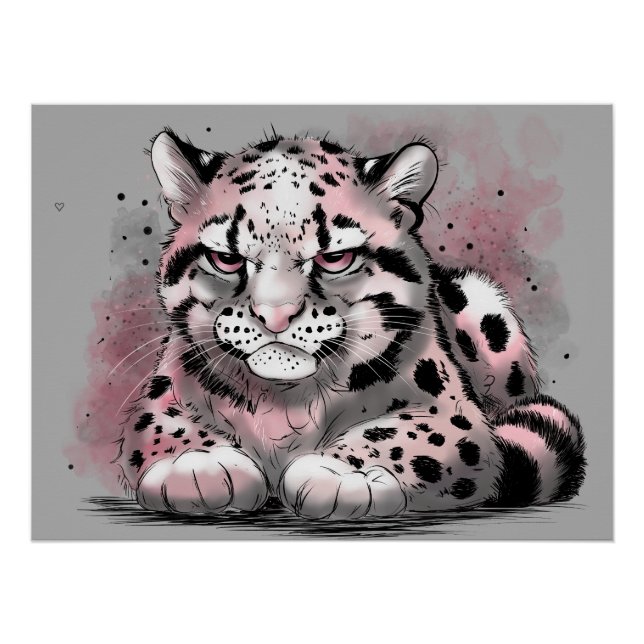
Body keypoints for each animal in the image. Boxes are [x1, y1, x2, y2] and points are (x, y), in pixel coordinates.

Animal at [114, 127, 586, 519]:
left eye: (335, 257)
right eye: (226, 258)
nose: (275, 315)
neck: (284, 405)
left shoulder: (452, 416)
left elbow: (400, 434)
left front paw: (337, 475)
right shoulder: (160, 393)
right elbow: (164, 425)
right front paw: (197, 465)